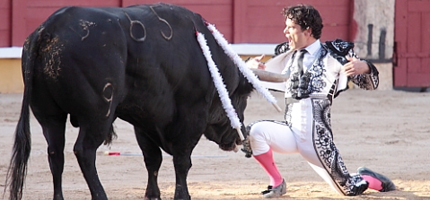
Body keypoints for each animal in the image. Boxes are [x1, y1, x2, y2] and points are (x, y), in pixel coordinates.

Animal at [6, 3, 255, 200]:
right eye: (241, 100)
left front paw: (152, 194)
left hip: (49, 115)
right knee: (84, 151)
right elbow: (182, 160)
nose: (241, 136)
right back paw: (100, 195)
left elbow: (152, 159)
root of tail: (48, 29)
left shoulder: (144, 118)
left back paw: (59, 197)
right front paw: (182, 195)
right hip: (99, 115)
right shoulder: (192, 116)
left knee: (56, 153)